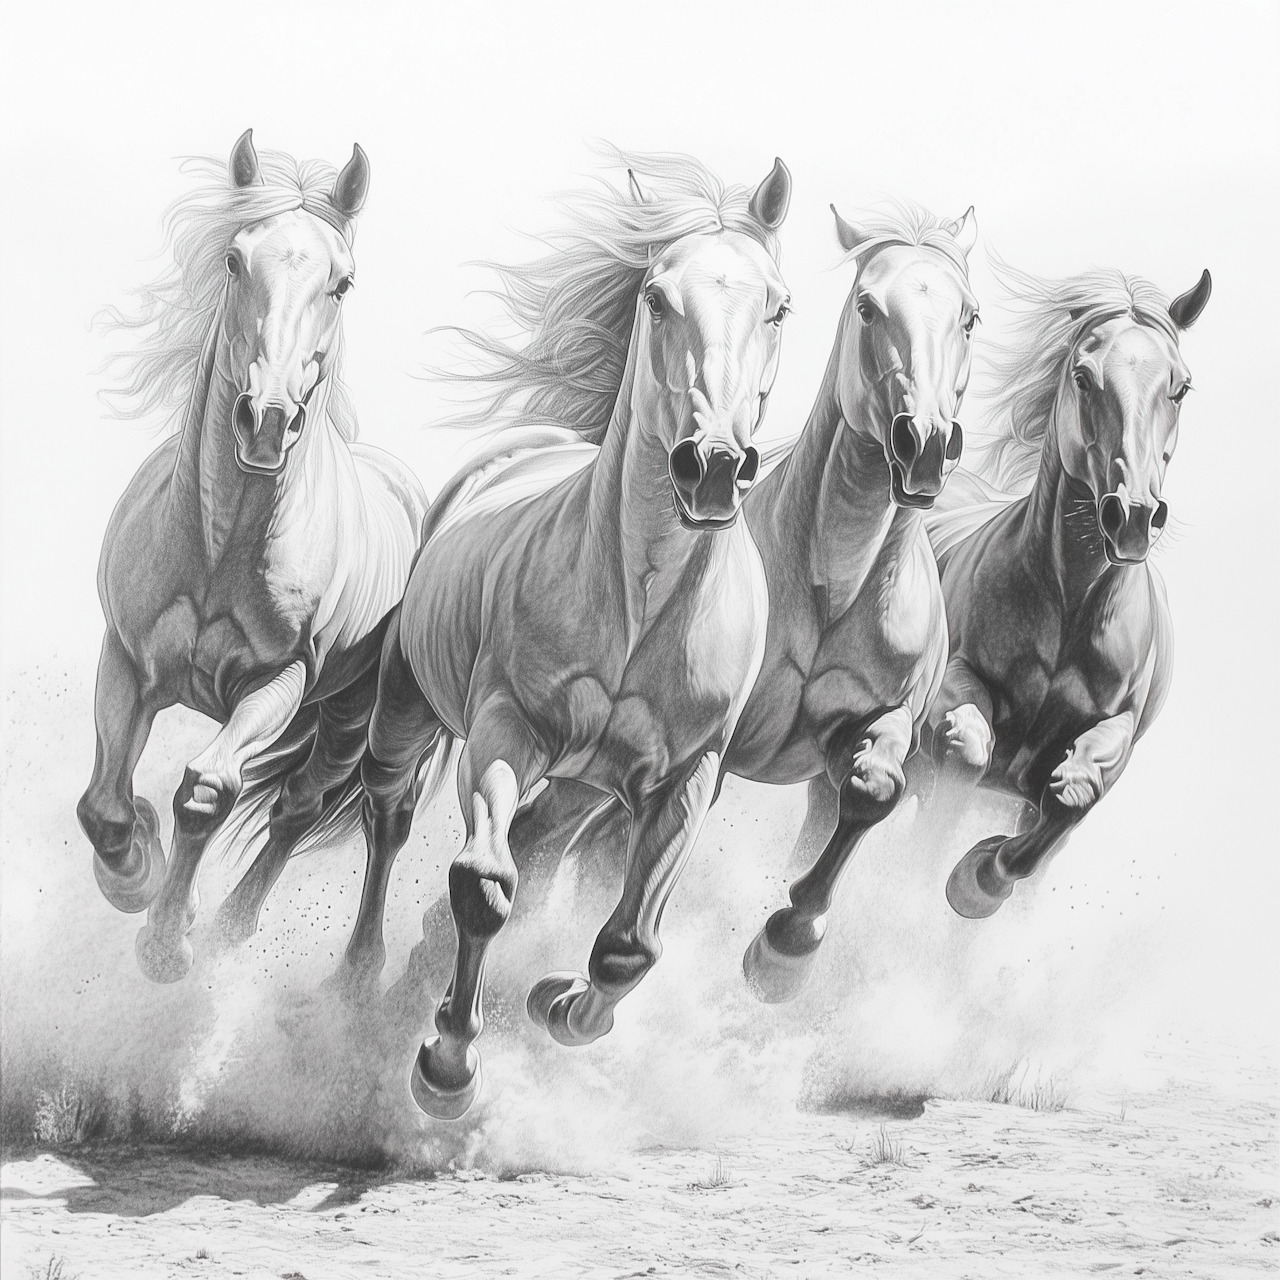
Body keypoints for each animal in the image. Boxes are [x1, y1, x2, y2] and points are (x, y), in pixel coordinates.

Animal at [77, 131, 428, 982]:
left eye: (343, 281)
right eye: (236, 261)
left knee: (364, 808)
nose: (266, 420)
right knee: (301, 803)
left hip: (361, 712)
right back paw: (233, 925)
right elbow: (104, 805)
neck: (218, 551)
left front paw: (167, 940)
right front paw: (133, 872)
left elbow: (208, 789)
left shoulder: (278, 682)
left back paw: (343, 966)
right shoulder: (126, 661)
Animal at [515, 201, 981, 1002]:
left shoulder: (873, 725)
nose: (924, 443)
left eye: (971, 317)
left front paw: (784, 947)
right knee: (554, 839)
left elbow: (876, 789)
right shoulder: (710, 755)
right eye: (867, 308)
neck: (836, 585)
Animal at [919, 262, 1211, 918]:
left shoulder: (1116, 732)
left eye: (1180, 387)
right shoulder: (957, 679)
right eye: (1083, 376)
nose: (1133, 516)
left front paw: (979, 878)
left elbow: (1074, 794)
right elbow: (968, 744)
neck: (1070, 607)